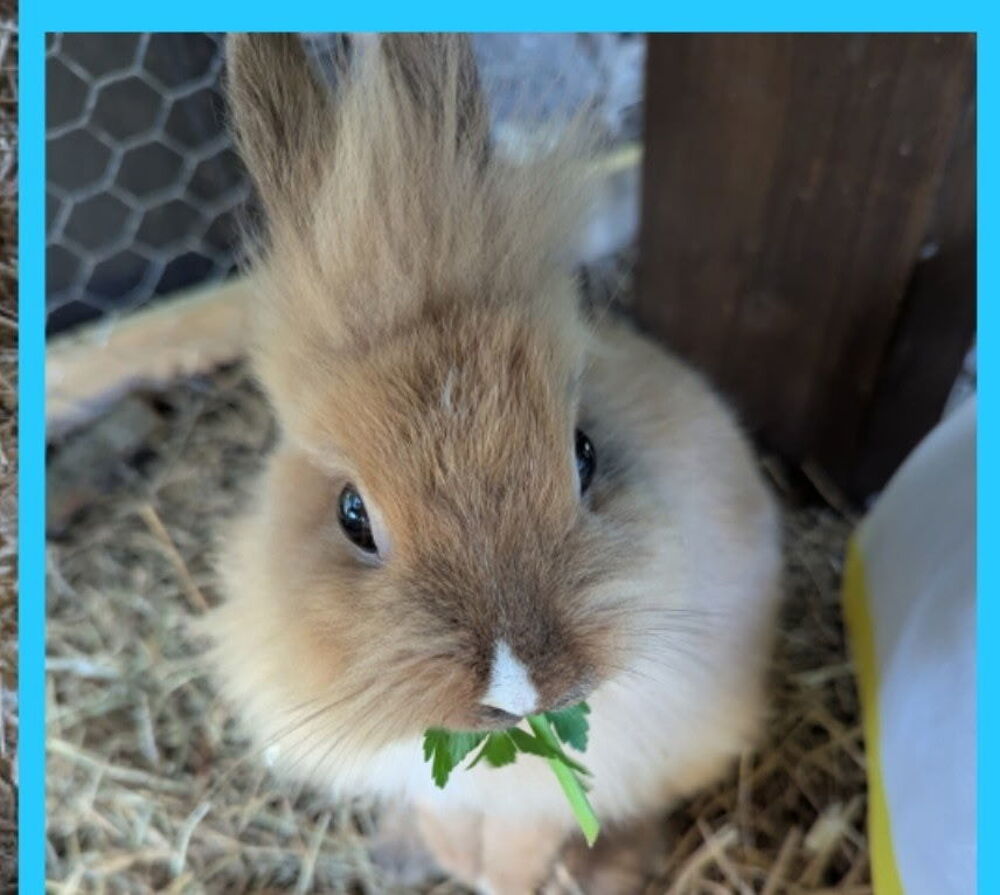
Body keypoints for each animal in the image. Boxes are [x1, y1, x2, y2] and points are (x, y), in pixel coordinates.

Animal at [206, 33, 782, 895]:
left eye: (584, 452)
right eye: (351, 513)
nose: (523, 689)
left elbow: (522, 840)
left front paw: (498, 881)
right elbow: (449, 816)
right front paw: (450, 858)